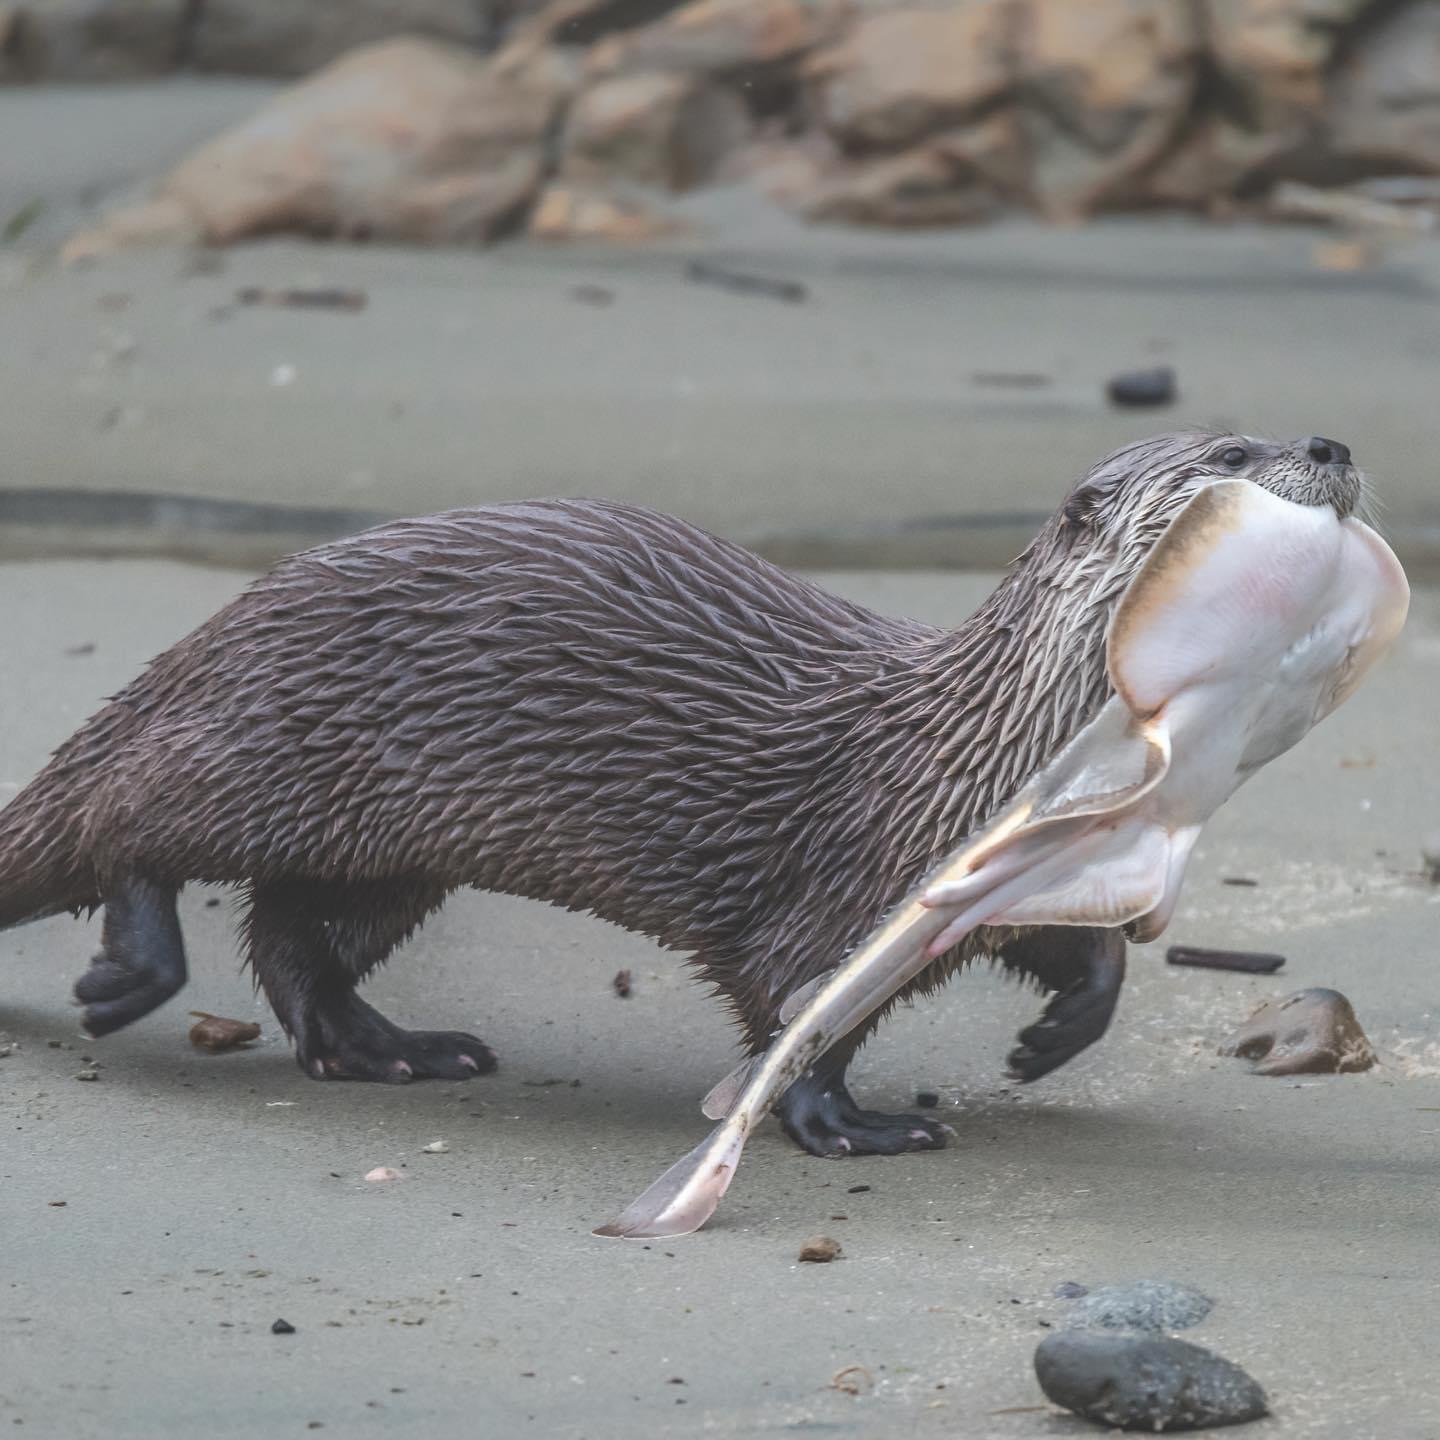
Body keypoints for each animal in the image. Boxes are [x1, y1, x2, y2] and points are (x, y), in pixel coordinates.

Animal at [0, 431, 1363, 1158]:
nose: (1335, 446)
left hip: (378, 844)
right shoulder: (849, 881)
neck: (981, 751)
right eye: (1232, 453)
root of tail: (209, 632)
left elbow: (1086, 952)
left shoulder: (1017, 878)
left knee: (297, 936)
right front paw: (850, 1125)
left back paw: (394, 1049)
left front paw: (1056, 1034)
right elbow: (799, 1005)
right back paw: (130, 972)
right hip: (271, 740)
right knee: (135, 815)